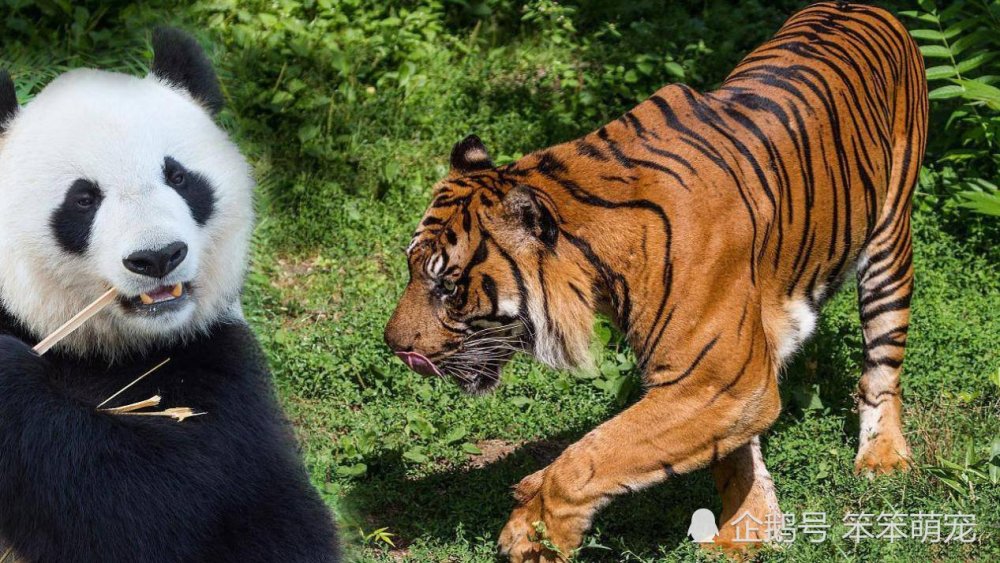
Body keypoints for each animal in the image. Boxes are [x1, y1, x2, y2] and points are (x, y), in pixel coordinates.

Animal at [384, 2, 927, 560]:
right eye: (410, 268)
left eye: (449, 287)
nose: (393, 346)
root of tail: (868, 9)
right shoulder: (731, 378)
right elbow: (732, 457)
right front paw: (748, 530)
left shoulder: (714, 381)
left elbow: (593, 455)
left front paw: (533, 531)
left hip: (889, 239)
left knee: (881, 366)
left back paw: (883, 457)